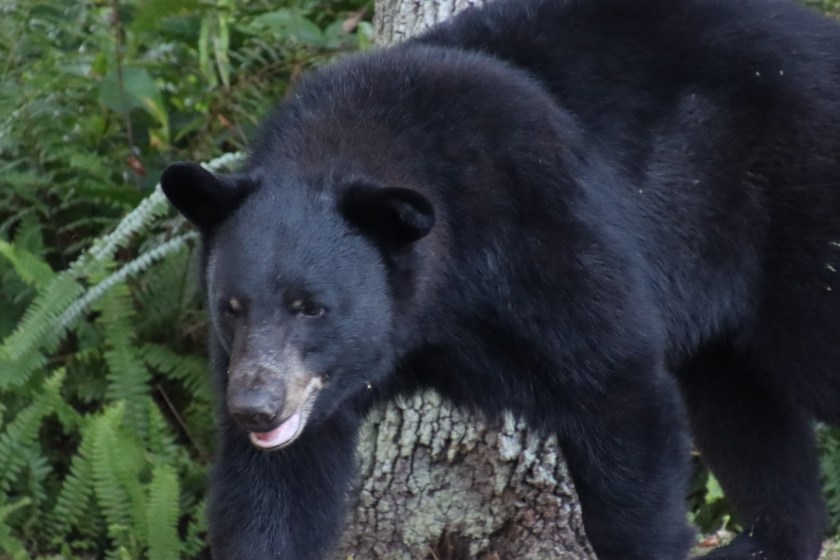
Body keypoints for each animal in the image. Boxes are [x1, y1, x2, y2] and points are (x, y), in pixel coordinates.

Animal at [159, 0, 840, 558]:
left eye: (312, 306)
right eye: (232, 306)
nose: (254, 407)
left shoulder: (547, 225)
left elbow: (617, 387)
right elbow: (275, 491)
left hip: (802, 215)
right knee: (741, 410)